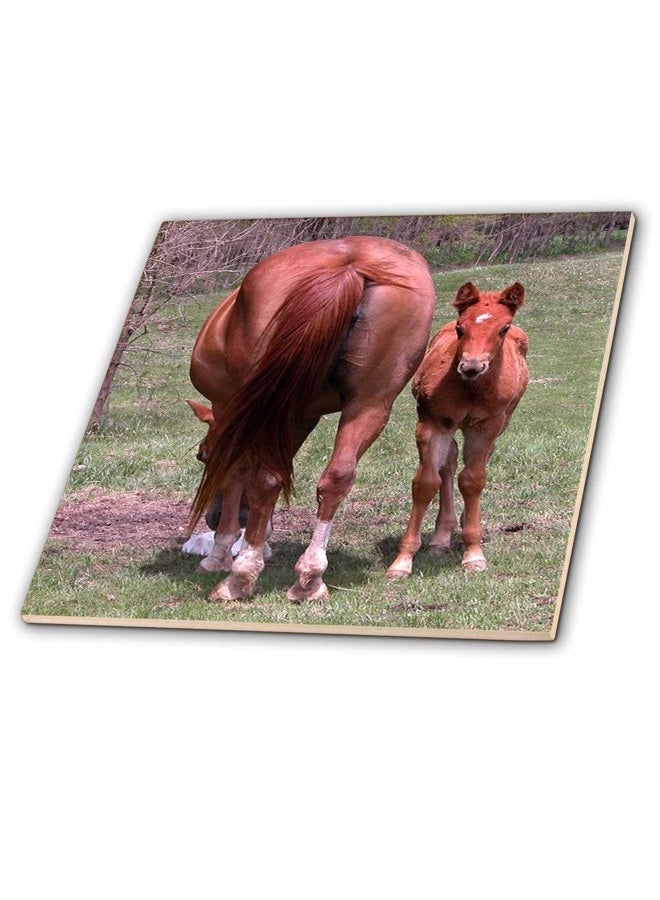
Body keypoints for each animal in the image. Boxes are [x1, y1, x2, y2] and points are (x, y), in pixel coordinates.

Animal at [188, 235, 436, 602]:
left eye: (201, 456)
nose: (215, 518)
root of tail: (351, 263)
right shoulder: (301, 415)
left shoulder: (234, 410)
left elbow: (236, 474)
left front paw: (221, 553)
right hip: (370, 403)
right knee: (335, 477)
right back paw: (309, 576)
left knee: (265, 477)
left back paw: (240, 577)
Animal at [386, 280, 529, 579]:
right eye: (460, 327)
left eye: (504, 328)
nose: (472, 367)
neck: (470, 389)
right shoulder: (433, 422)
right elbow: (426, 483)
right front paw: (403, 561)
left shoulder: (486, 426)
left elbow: (473, 480)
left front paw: (473, 553)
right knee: (449, 461)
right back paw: (441, 538)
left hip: (502, 421)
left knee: (478, 460)